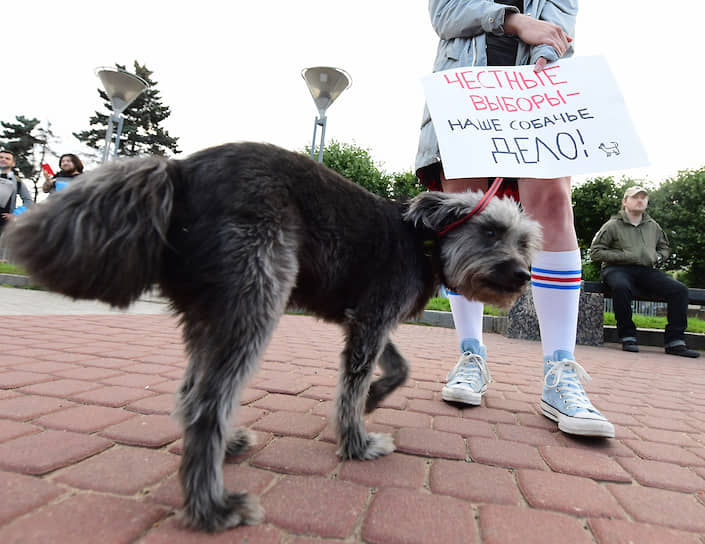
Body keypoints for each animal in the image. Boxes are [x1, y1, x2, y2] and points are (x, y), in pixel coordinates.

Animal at [4, 141, 540, 532]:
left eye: (525, 242)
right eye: (491, 232)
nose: (522, 275)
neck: (424, 240)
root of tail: (180, 170)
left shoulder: (365, 320)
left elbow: (397, 368)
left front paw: (373, 399)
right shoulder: (370, 320)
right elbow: (351, 388)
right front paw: (356, 441)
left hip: (211, 313)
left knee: (191, 391)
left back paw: (227, 448)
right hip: (256, 301)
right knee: (205, 405)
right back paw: (212, 507)